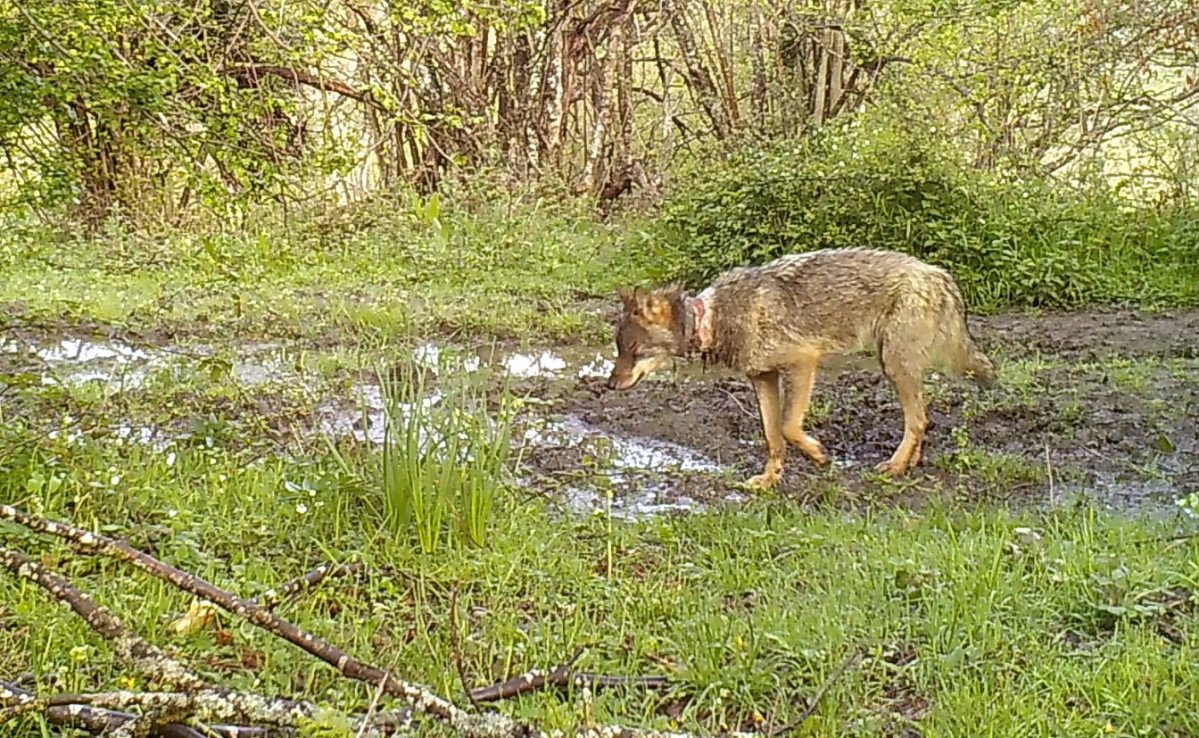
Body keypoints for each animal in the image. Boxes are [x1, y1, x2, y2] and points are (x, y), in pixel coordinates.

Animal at [604, 249, 997, 491]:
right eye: (619, 349)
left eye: (634, 351)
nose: (609, 385)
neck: (712, 319)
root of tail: (940, 275)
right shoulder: (763, 378)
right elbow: (773, 437)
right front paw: (769, 481)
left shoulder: (803, 363)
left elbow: (789, 428)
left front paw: (818, 455)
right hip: (896, 367)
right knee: (922, 418)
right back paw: (909, 463)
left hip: (894, 365)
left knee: (917, 420)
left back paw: (895, 467)